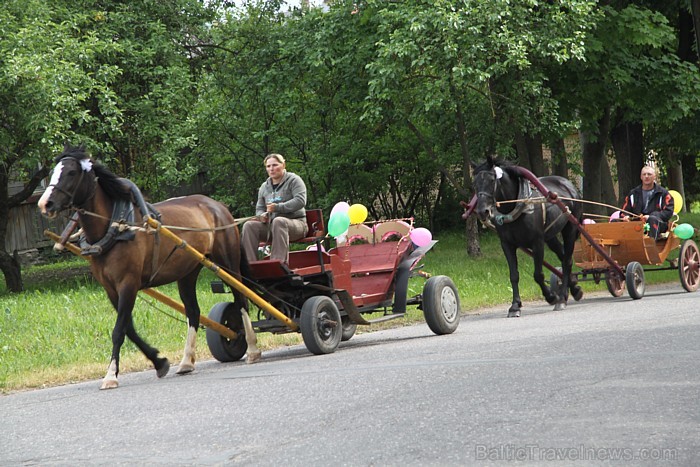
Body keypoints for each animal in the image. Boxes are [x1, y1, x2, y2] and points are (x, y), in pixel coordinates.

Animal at [37, 144, 260, 390]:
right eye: (53, 171)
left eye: (71, 172)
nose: (45, 204)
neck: (115, 227)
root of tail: (218, 206)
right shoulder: (110, 288)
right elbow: (129, 328)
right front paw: (159, 361)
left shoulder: (128, 283)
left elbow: (119, 330)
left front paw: (111, 375)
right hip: (188, 271)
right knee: (193, 312)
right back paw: (187, 361)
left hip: (227, 263)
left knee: (241, 300)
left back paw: (251, 347)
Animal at [474, 157, 584, 318]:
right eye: (474, 183)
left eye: (492, 180)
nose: (483, 211)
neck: (518, 207)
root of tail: (568, 184)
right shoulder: (507, 244)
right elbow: (514, 275)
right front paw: (515, 306)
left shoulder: (537, 242)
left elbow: (538, 274)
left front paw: (551, 296)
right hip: (550, 237)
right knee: (563, 256)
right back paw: (575, 290)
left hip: (569, 229)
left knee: (567, 261)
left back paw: (562, 297)